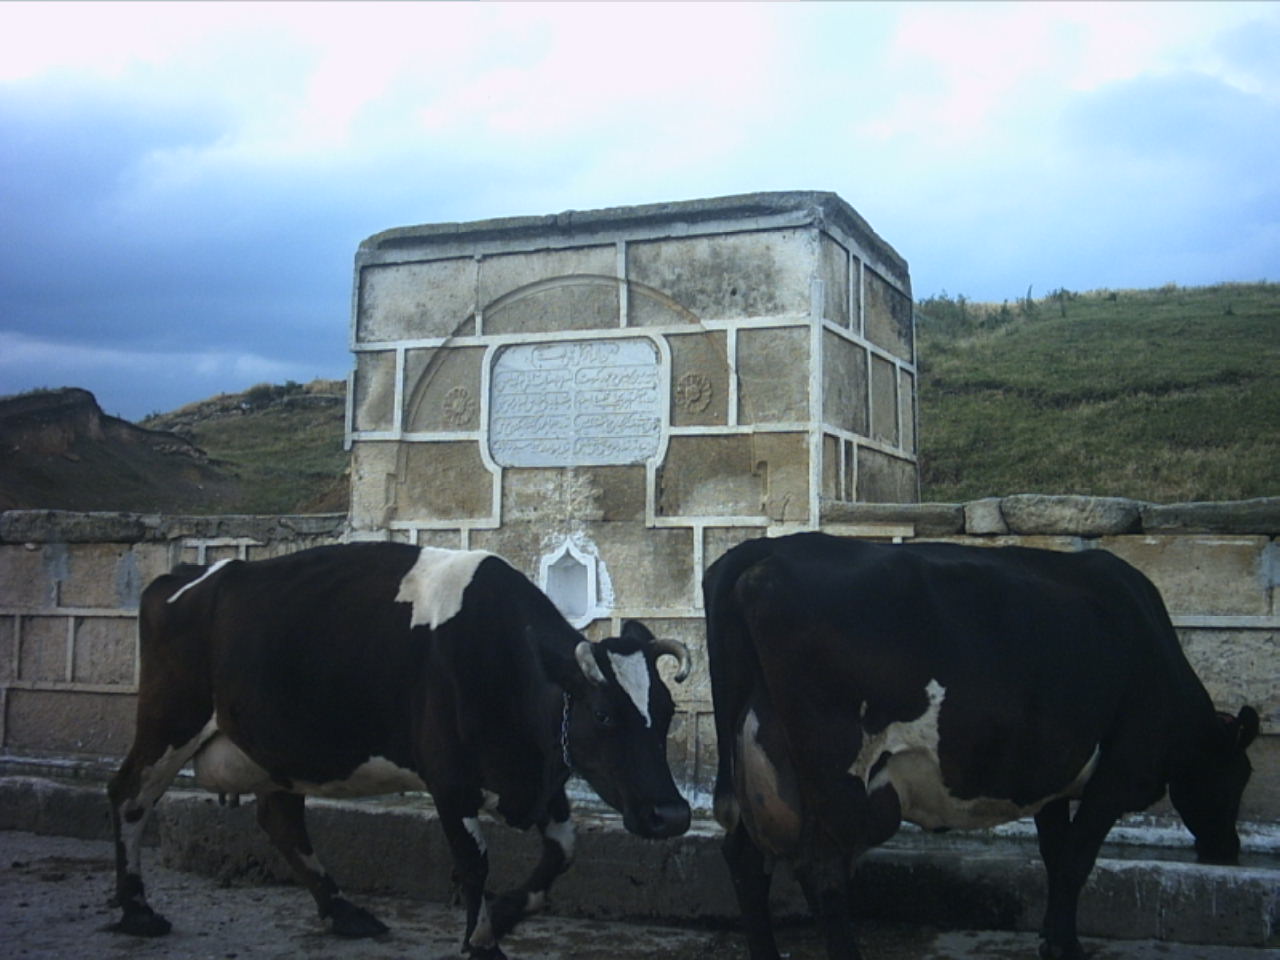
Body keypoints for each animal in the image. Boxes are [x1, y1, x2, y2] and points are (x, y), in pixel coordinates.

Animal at [107, 542, 692, 959]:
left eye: (666, 713)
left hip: (280, 747)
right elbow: (474, 863)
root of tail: (184, 577)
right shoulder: (449, 779)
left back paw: (343, 912)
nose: (671, 814)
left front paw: (501, 915)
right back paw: (136, 910)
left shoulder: (542, 776)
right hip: (170, 717)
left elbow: (562, 855)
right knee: (130, 795)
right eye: (604, 714)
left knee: (281, 818)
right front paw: (481, 942)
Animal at [704, 532, 1258, 960]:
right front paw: (1066, 945)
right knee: (823, 869)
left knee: (745, 857)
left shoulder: (1048, 776)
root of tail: (759, 551)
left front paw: (1052, 937)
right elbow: (1077, 859)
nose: (1227, 848)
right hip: (836, 773)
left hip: (760, 766)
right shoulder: (1120, 773)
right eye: (1242, 775)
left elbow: (1055, 854)